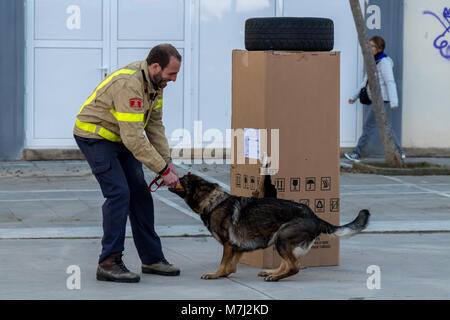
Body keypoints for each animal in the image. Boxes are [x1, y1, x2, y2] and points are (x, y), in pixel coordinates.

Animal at [169, 174, 370, 282]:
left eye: (183, 180)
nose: (171, 176)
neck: (212, 202)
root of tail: (315, 217)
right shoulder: (237, 247)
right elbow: (231, 265)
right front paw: (225, 273)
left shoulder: (228, 244)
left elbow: (223, 263)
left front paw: (216, 274)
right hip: (278, 239)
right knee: (287, 263)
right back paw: (272, 273)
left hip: (283, 238)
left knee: (294, 266)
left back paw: (275, 277)